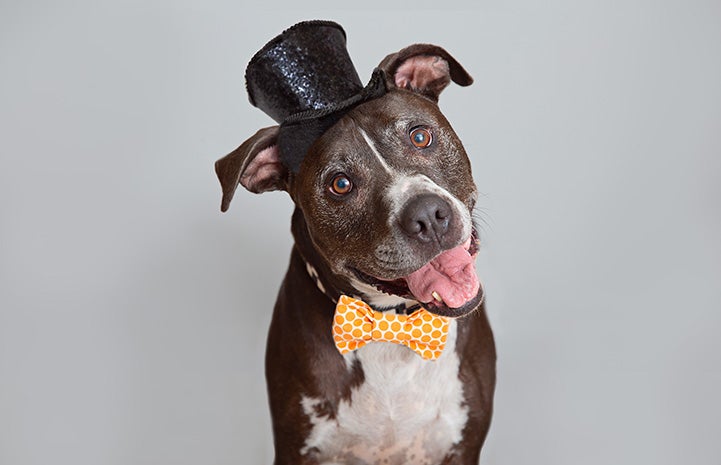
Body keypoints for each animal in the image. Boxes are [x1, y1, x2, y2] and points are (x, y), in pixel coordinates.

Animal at [214, 20, 496, 462]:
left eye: (420, 136)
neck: (392, 329)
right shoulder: (296, 448)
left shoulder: (464, 447)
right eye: (340, 184)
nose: (428, 215)